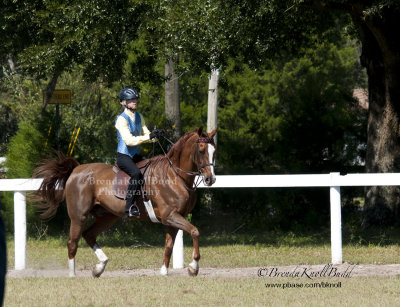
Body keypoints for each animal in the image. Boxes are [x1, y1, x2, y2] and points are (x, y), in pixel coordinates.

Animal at [32, 127, 217, 280]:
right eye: (201, 150)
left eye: (214, 151)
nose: (210, 179)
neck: (175, 175)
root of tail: (76, 170)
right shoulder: (170, 216)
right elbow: (195, 231)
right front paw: (193, 267)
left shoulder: (173, 219)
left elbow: (169, 246)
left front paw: (164, 272)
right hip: (79, 216)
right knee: (73, 242)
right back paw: (72, 274)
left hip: (108, 217)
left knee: (89, 235)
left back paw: (99, 267)